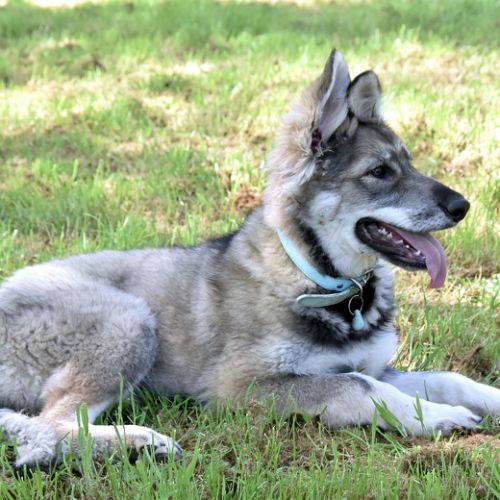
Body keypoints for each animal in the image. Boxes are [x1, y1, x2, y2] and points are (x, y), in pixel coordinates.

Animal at [1, 49, 499, 470]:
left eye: (410, 163)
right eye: (379, 172)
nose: (462, 207)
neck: (322, 279)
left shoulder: (373, 364)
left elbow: (447, 378)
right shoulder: (243, 387)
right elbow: (358, 387)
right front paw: (433, 417)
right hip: (128, 320)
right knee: (50, 425)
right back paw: (141, 441)